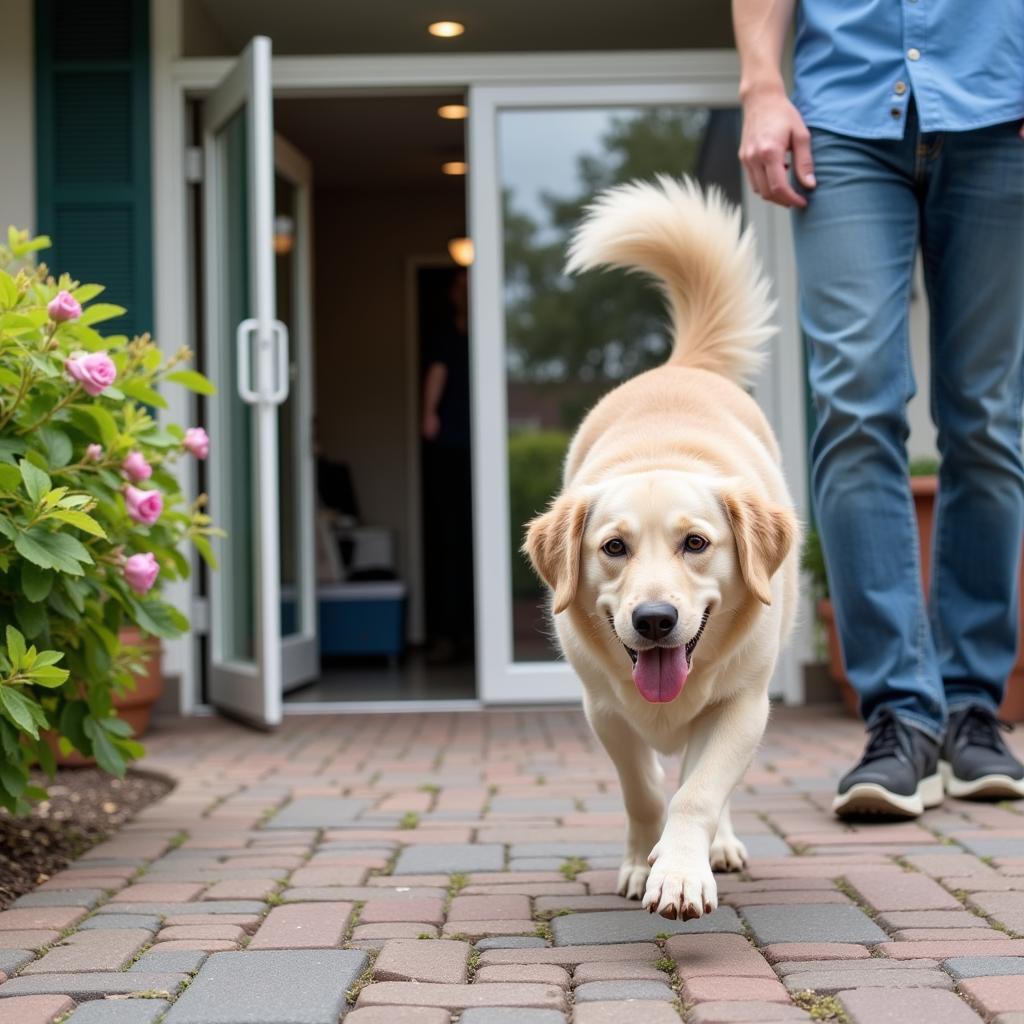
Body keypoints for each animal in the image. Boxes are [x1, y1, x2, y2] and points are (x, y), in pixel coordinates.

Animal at [528, 176, 798, 921]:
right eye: (614, 547)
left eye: (696, 542)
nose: (653, 621)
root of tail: (681, 365)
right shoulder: (604, 710)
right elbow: (645, 790)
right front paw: (637, 862)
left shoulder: (742, 706)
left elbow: (698, 793)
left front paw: (679, 871)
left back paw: (720, 847)